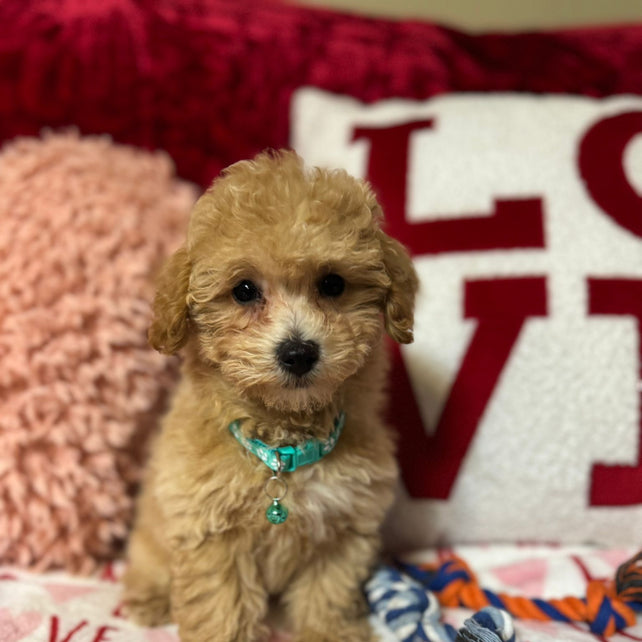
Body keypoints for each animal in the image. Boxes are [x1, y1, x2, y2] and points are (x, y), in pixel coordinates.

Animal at [122, 151, 418, 640]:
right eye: (244, 290)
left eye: (333, 284)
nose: (298, 353)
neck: (283, 444)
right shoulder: (210, 531)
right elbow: (222, 606)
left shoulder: (342, 526)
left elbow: (328, 593)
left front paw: (330, 633)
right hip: (152, 536)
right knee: (148, 562)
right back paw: (148, 598)